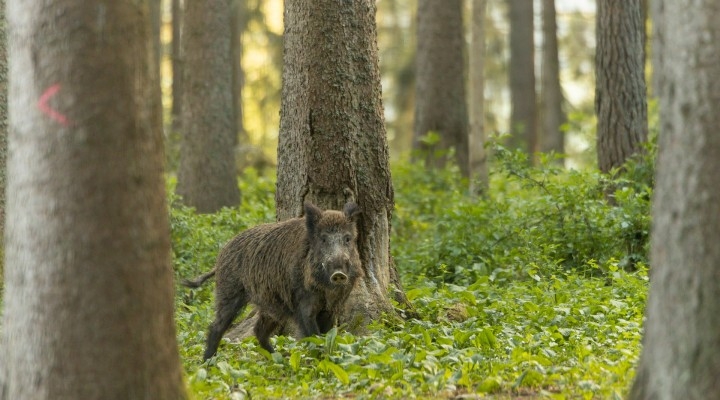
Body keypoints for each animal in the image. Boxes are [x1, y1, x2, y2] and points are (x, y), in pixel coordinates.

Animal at [182, 202, 363, 360]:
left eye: (347, 238)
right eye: (323, 239)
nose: (338, 273)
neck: (326, 290)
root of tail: (220, 257)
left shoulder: (331, 309)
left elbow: (326, 334)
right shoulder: (303, 303)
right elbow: (312, 334)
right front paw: (318, 358)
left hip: (271, 304)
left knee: (258, 330)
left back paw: (276, 358)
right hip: (229, 292)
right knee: (216, 326)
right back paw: (207, 361)